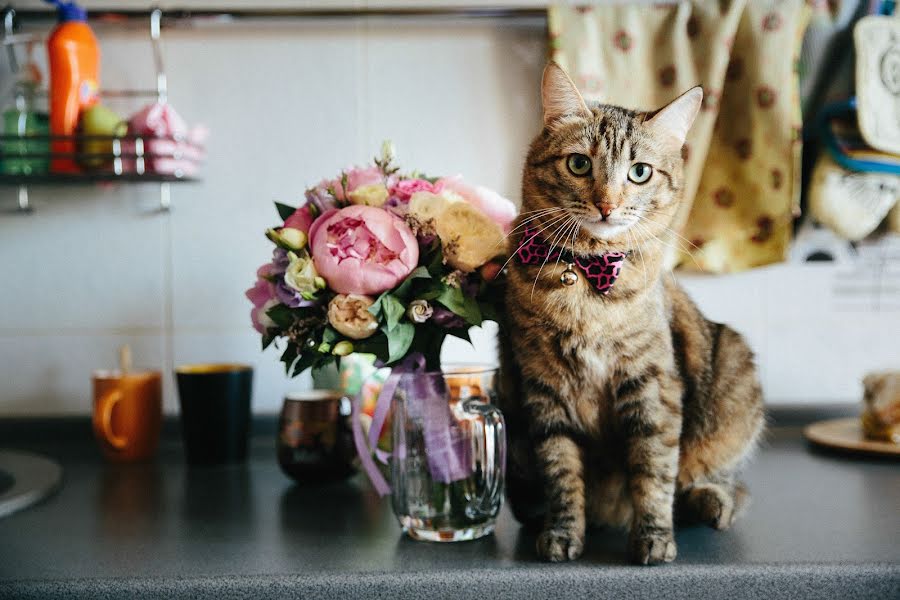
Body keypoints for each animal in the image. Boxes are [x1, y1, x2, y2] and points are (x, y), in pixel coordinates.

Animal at [502, 63, 764, 564]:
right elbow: (561, 471)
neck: (588, 277)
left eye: (639, 172)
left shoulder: (652, 385)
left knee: (724, 482)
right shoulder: (544, 389)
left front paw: (654, 537)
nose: (606, 205)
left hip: (734, 379)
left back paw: (710, 502)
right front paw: (563, 532)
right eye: (579, 163)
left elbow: (654, 471)